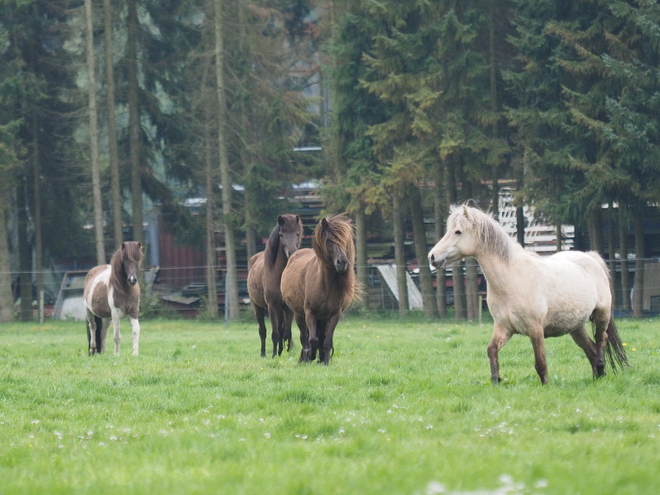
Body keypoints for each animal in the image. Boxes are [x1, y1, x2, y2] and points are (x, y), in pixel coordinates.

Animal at [246, 213, 302, 356]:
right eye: (281, 234)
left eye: (297, 233)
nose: (292, 252)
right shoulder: (272, 306)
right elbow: (275, 334)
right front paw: (274, 355)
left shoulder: (288, 308)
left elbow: (286, 333)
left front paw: (285, 353)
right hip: (258, 307)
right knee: (262, 331)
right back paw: (263, 353)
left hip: (280, 310)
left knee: (282, 329)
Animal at [282, 215, 358, 366]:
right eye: (329, 240)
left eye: (345, 241)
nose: (342, 263)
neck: (325, 284)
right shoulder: (310, 312)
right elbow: (312, 339)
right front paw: (310, 355)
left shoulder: (334, 314)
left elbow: (327, 341)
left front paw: (325, 362)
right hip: (299, 315)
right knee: (304, 337)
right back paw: (305, 359)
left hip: (322, 318)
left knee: (321, 337)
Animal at [428, 203, 628, 386]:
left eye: (458, 232)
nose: (432, 257)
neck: (511, 279)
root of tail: (591, 257)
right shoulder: (504, 328)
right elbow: (491, 350)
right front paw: (496, 381)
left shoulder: (535, 329)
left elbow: (541, 363)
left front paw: (545, 386)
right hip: (576, 326)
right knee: (590, 349)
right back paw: (596, 378)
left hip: (602, 315)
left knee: (601, 341)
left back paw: (601, 369)